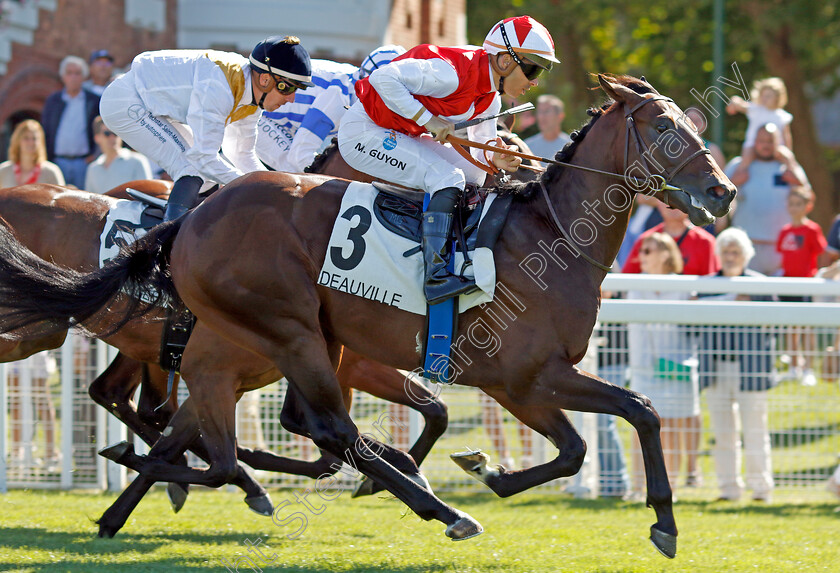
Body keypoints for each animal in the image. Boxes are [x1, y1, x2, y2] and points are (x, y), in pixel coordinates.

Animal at [0, 76, 736, 556]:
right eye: (666, 129)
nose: (723, 190)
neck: (549, 236)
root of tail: (188, 222)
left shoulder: (527, 381)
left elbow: (612, 426)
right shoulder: (520, 379)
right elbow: (614, 424)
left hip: (274, 344)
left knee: (209, 429)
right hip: (286, 331)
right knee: (317, 429)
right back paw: (434, 508)